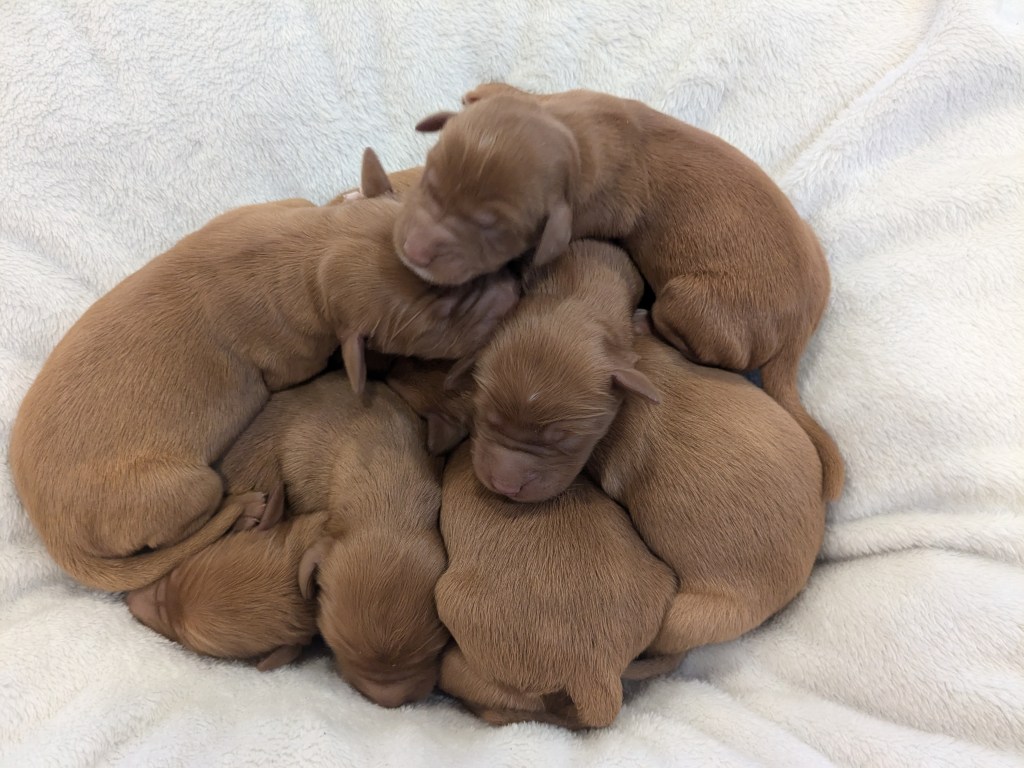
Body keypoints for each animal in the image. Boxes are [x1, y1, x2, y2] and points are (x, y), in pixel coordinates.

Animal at [9, 148, 518, 592]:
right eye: (437, 325)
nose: (515, 291)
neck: (308, 251)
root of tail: (54, 538)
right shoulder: (295, 359)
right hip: (186, 487)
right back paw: (245, 508)